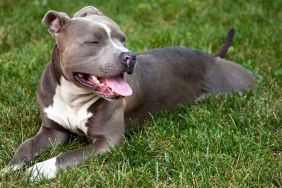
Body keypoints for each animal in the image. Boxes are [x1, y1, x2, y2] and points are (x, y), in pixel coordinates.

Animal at [2, 6, 256, 181]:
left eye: (123, 39)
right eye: (93, 42)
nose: (129, 56)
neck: (74, 95)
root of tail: (212, 58)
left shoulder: (108, 141)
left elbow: (67, 156)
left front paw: (38, 169)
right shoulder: (53, 131)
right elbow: (26, 146)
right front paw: (10, 168)